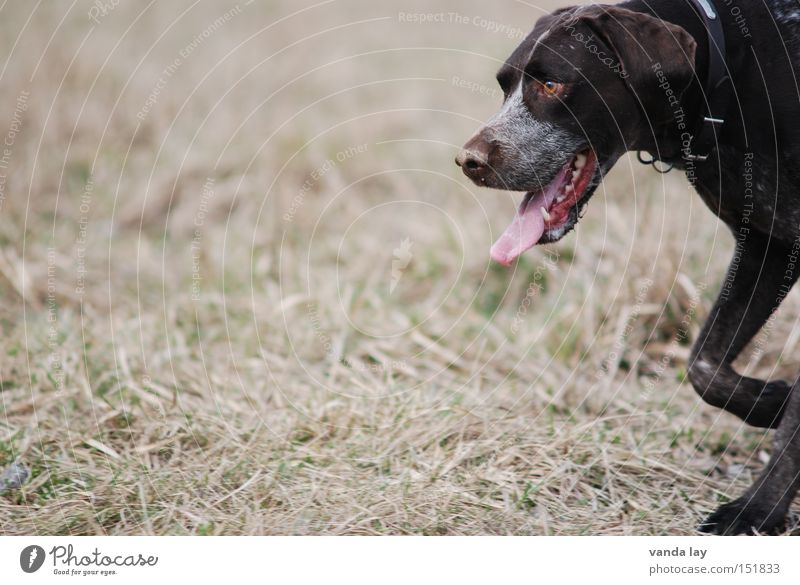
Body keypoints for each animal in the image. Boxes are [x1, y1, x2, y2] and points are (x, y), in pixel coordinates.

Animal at [456, 0, 800, 532]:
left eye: (551, 84)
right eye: (504, 85)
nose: (468, 161)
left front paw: (756, 509)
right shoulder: (767, 243)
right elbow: (704, 364)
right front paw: (772, 403)